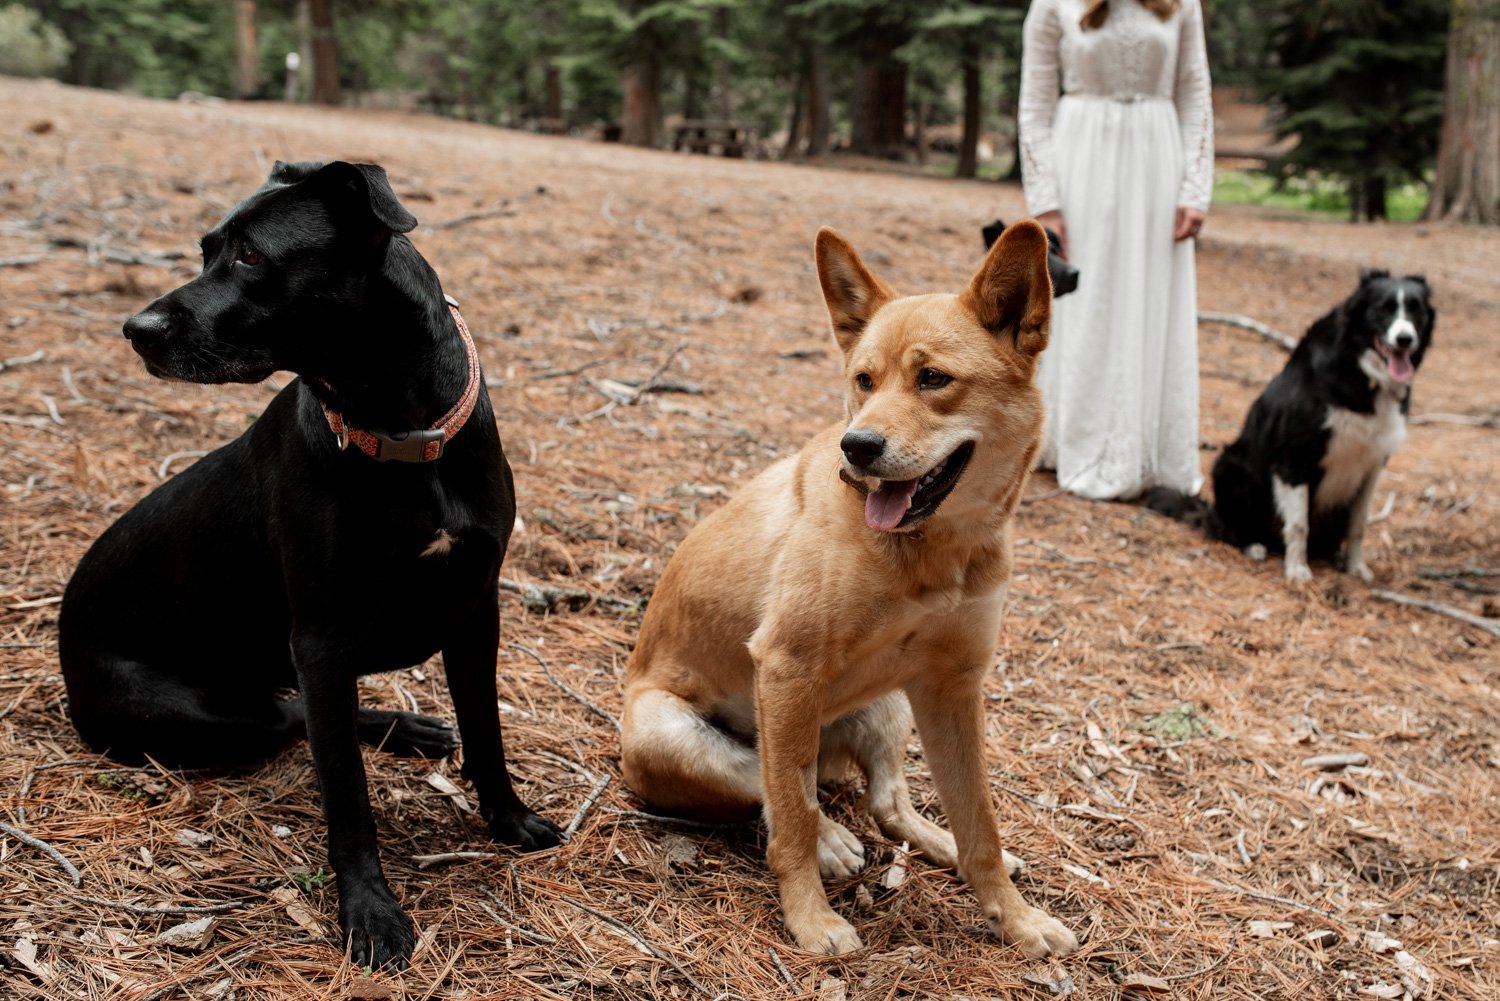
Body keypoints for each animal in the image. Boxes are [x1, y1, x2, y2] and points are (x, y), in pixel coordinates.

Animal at [57, 162, 564, 972]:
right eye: (206, 250)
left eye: (251, 256)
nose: (136, 330)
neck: (399, 434)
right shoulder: (323, 640)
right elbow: (346, 793)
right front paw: (370, 911)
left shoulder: (474, 610)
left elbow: (486, 730)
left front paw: (509, 819)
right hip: (195, 714)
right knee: (291, 719)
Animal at [621, 223, 1080, 960]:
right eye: (863, 381)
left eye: (933, 379)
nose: (856, 447)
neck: (932, 553)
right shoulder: (785, 666)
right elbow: (791, 815)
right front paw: (809, 918)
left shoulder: (952, 686)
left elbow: (980, 823)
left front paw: (1016, 917)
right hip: (672, 732)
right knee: (773, 787)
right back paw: (833, 842)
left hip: (887, 705)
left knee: (883, 802)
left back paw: (930, 843)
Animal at [1146, 270, 1428, 582]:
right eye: (1382, 308)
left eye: (1417, 311)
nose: (1405, 339)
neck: (1362, 376)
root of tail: (1211, 513)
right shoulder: (1294, 456)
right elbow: (1298, 524)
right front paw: (1297, 571)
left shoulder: (1373, 464)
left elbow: (1358, 524)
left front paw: (1356, 568)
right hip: (1231, 470)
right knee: (1229, 529)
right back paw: (1254, 545)